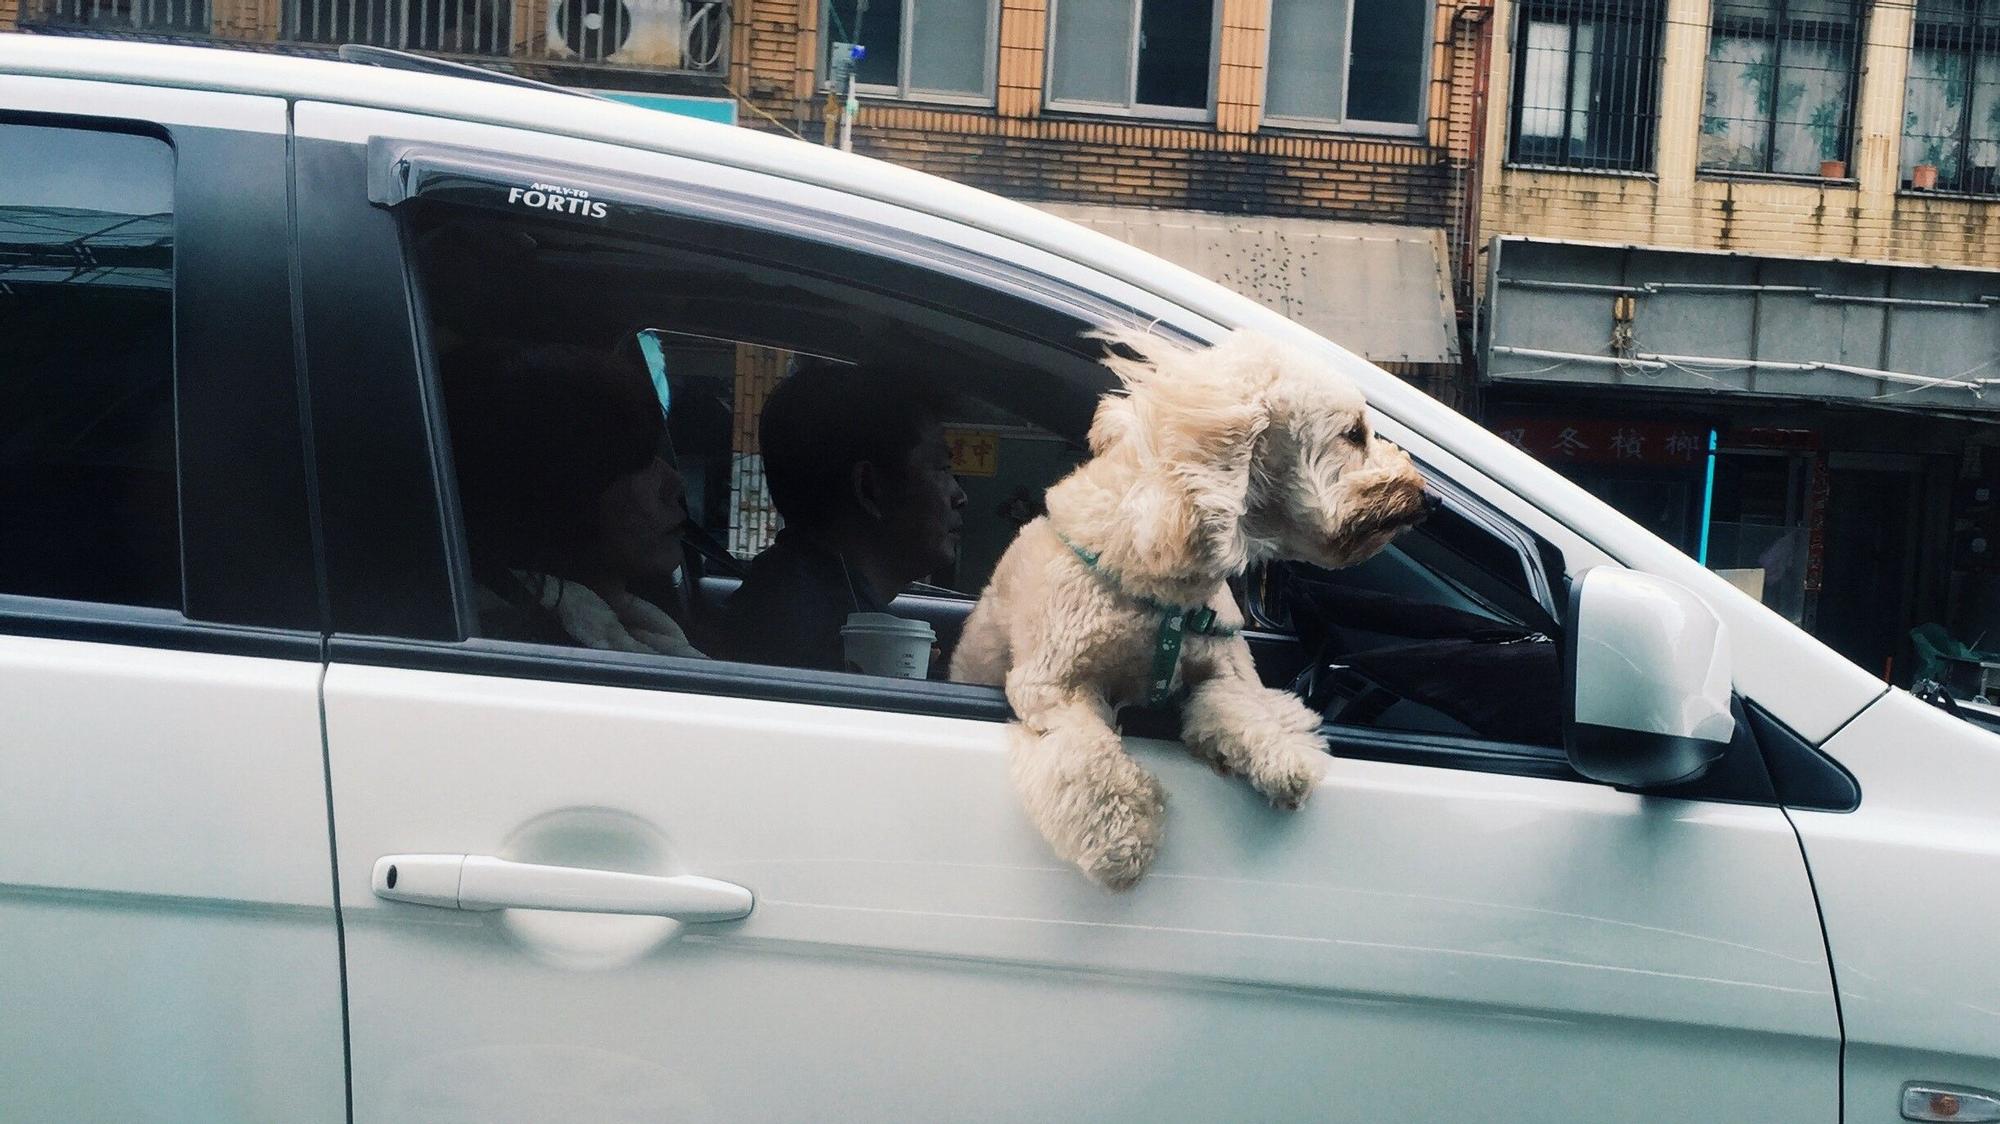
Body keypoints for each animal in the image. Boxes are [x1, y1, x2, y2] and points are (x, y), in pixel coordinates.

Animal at [948, 328, 1432, 888]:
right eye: (1353, 434)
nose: (1428, 498)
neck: (1165, 595)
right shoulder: (1054, 687)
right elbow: (1093, 761)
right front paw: (1123, 840)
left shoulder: (1223, 668)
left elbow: (1243, 707)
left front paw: (1282, 755)